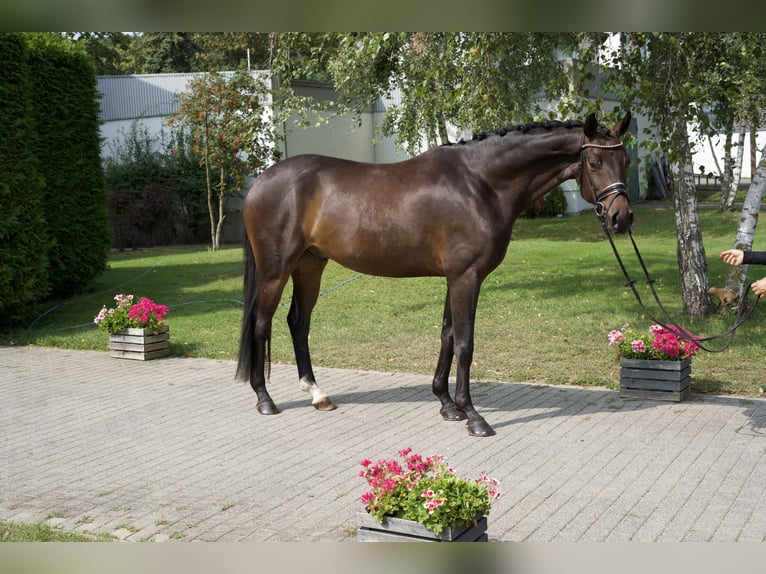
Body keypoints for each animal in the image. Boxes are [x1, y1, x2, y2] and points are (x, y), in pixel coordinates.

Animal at [237, 111, 632, 436]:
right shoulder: (466, 277)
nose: (621, 218)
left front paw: (447, 404)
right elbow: (465, 344)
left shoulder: (455, 277)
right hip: (275, 270)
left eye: (625, 160)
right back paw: (264, 399)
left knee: (298, 322)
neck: (480, 184)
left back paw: (317, 394)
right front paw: (473, 417)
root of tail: (261, 181)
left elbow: (447, 336)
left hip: (310, 265)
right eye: (594, 161)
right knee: (261, 323)